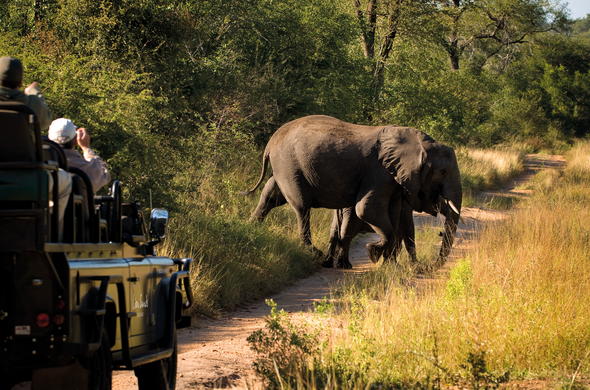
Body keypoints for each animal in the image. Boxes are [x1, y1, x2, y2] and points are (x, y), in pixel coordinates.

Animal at [244, 113, 462, 266]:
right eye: (443, 172)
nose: (431, 265)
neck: (419, 143)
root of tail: (270, 143)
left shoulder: (394, 181)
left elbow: (393, 215)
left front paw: (390, 265)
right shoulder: (379, 172)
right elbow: (367, 209)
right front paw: (373, 252)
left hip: (284, 167)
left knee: (270, 196)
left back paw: (251, 228)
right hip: (289, 165)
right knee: (301, 206)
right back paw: (316, 253)